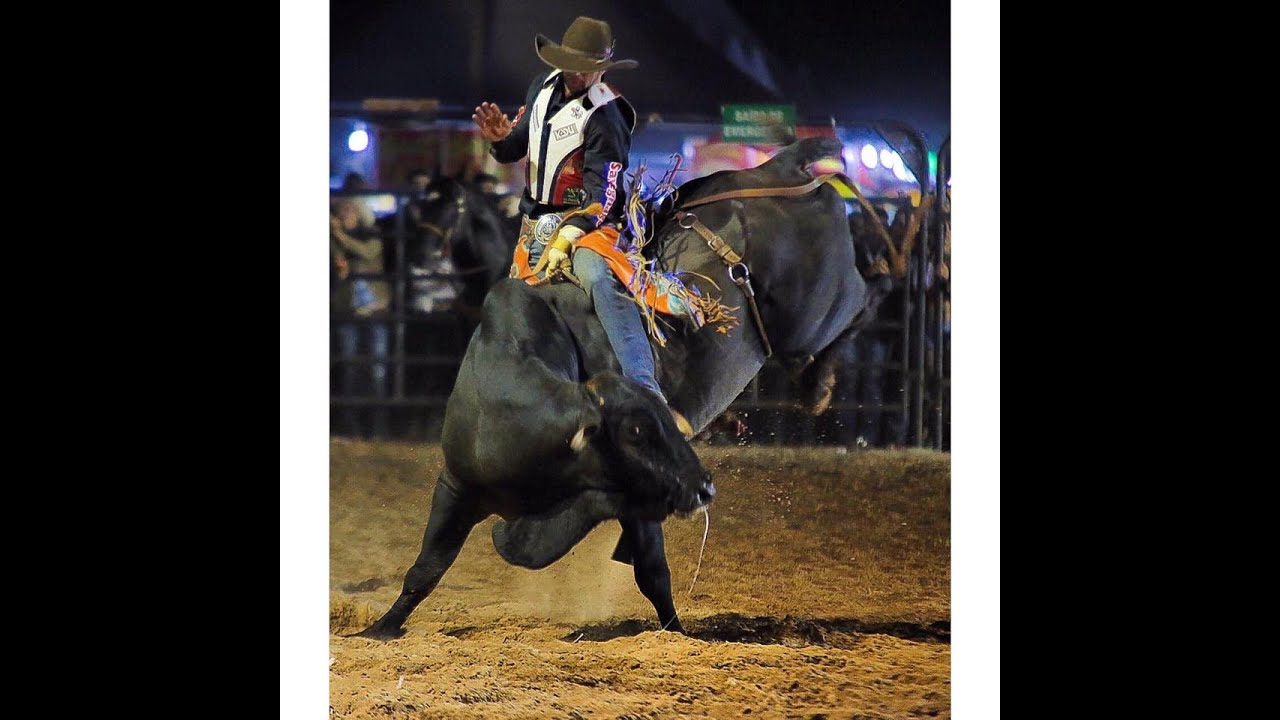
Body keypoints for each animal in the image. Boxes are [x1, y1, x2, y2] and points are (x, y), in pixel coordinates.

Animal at [355, 137, 865, 635]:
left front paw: (676, 632)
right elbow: (427, 568)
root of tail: (778, 167)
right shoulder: (456, 485)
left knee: (857, 305)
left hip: (815, 315)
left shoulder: (637, 501)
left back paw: (821, 381)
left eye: (453, 208)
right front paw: (379, 629)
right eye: (637, 432)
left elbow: (652, 573)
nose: (704, 488)